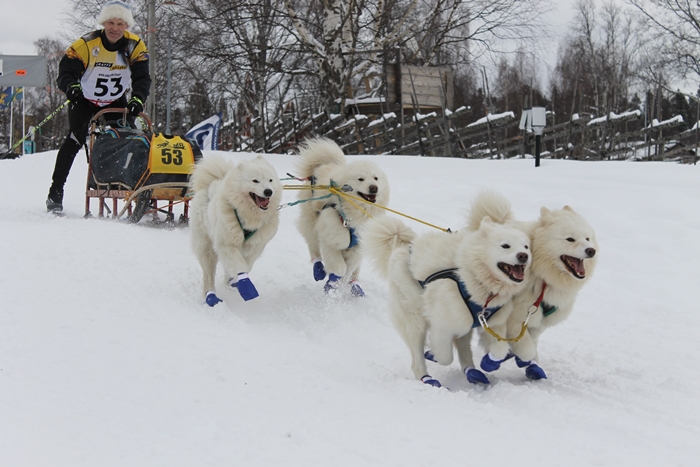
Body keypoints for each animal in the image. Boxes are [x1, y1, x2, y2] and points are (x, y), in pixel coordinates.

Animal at [190, 154, 284, 308]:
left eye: (271, 180)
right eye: (255, 180)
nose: (268, 191)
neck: (249, 217)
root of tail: (211, 183)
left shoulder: (255, 246)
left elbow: (247, 264)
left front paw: (234, 281)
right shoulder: (227, 244)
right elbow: (239, 264)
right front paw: (245, 285)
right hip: (206, 249)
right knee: (208, 275)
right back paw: (211, 297)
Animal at [294, 137, 392, 296]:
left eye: (376, 178)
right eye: (360, 179)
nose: (374, 188)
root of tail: (323, 166)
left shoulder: (357, 247)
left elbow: (349, 268)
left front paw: (337, 284)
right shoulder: (330, 240)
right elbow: (340, 268)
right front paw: (333, 283)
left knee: (354, 271)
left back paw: (355, 286)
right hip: (311, 224)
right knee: (314, 249)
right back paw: (318, 270)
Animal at [366, 205, 532, 388]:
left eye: (526, 246)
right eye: (505, 246)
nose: (523, 256)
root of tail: (402, 249)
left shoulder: (494, 324)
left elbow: (501, 351)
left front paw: (493, 361)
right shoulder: (442, 325)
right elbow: (445, 357)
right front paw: (433, 354)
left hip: (464, 322)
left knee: (463, 348)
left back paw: (472, 372)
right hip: (415, 323)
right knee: (417, 360)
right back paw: (427, 378)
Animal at [468, 192, 600, 382]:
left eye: (587, 238)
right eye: (570, 239)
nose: (591, 250)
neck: (542, 277)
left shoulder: (537, 323)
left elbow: (531, 345)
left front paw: (531, 365)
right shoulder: (515, 319)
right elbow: (525, 348)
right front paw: (510, 357)